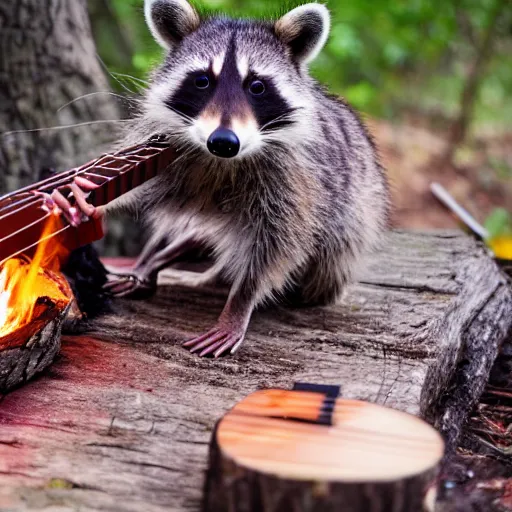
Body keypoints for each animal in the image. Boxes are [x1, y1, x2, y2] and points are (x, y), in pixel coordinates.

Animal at [52, 0, 388, 358]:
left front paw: (239, 305)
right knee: (193, 234)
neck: (222, 162)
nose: (223, 141)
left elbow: (278, 246)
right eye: (202, 81)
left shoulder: (297, 182)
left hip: (344, 241)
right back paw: (153, 262)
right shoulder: (171, 156)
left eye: (257, 86)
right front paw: (90, 202)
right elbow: (137, 191)